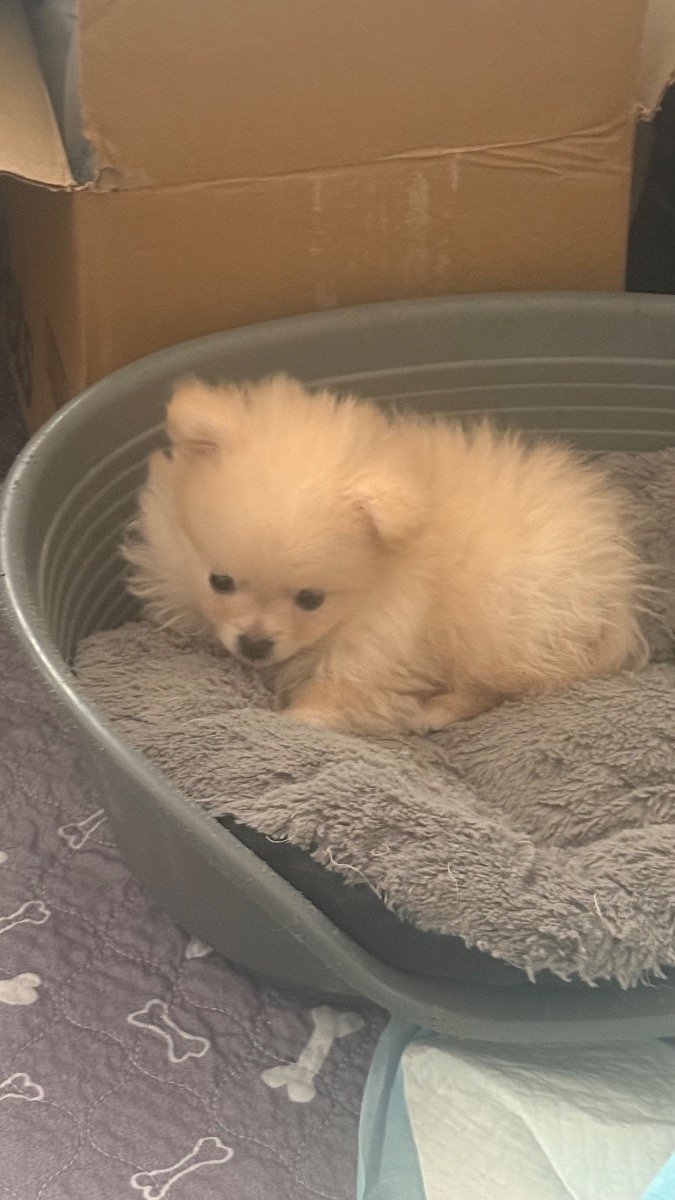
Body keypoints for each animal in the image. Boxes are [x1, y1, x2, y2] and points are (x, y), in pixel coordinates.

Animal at [124, 374, 645, 735]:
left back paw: (437, 710)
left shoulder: (383, 638)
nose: (254, 645)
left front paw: (296, 719)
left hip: (505, 619)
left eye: (310, 599)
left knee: (494, 685)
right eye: (220, 581)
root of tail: (616, 585)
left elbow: (343, 691)